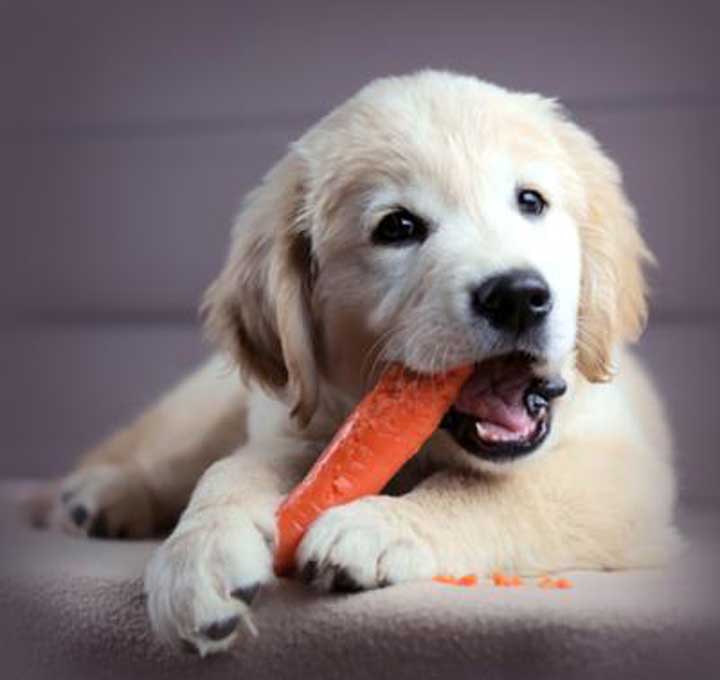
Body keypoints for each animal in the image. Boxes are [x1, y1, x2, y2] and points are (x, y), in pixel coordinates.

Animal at [47, 71, 676, 656]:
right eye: (397, 227)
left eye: (531, 201)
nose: (519, 295)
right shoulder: (301, 426)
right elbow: (228, 472)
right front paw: (197, 555)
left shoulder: (623, 472)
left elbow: (494, 491)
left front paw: (377, 525)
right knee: (174, 461)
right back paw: (99, 498)